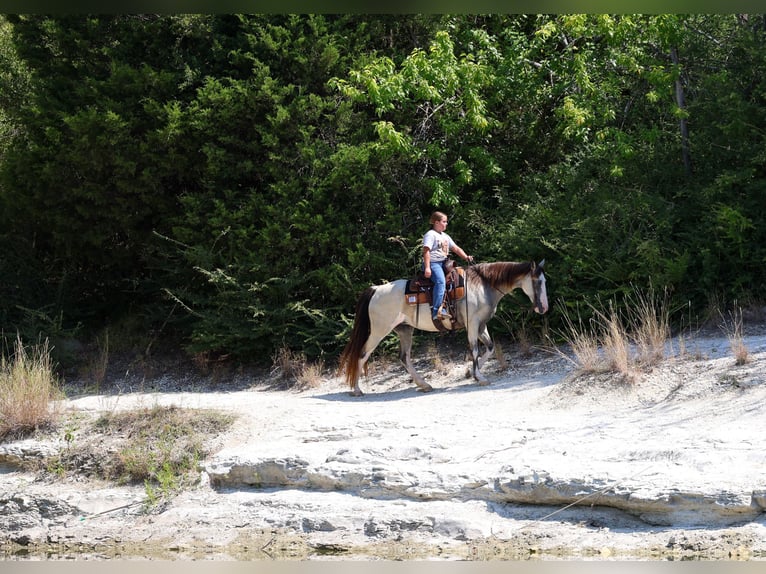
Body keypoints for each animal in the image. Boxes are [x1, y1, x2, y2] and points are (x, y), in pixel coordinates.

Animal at [339, 260, 548, 396]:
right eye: (538, 282)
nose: (544, 308)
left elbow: (489, 348)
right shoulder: (473, 323)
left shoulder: (481, 325)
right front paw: (479, 377)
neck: (482, 285)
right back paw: (356, 389)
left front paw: (471, 373)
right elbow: (474, 350)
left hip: (405, 330)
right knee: (363, 354)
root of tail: (375, 289)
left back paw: (424, 384)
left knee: (404, 357)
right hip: (378, 331)